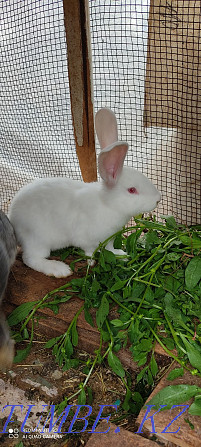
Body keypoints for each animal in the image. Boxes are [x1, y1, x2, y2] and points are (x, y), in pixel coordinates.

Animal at [9, 108, 160, 276]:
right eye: (132, 190)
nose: (158, 199)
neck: (107, 204)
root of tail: (12, 218)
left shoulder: (109, 238)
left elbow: (110, 248)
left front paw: (121, 255)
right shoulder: (87, 239)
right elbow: (90, 251)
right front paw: (91, 262)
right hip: (38, 239)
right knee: (30, 259)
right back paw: (59, 269)